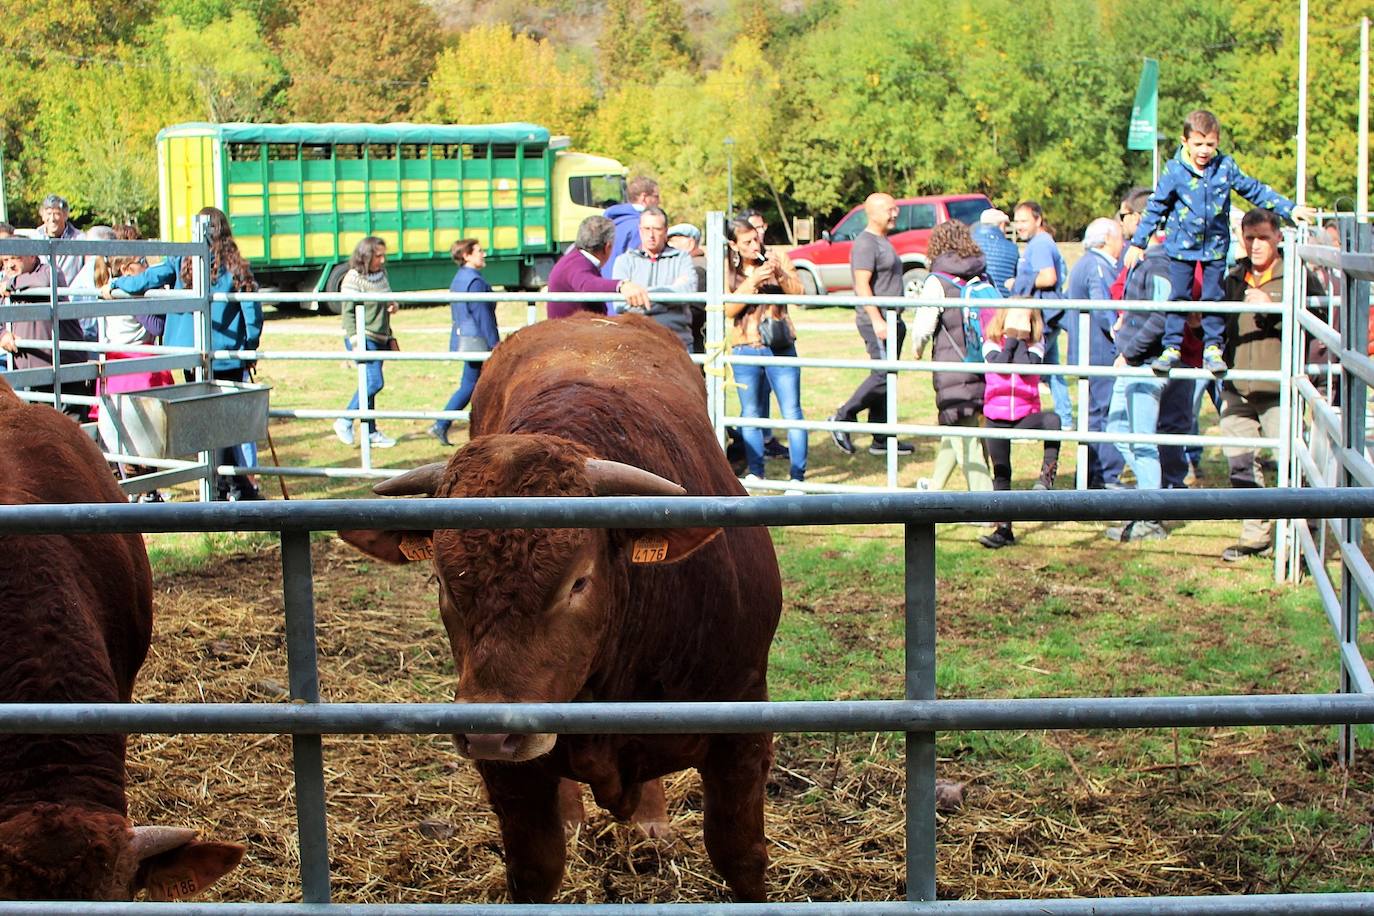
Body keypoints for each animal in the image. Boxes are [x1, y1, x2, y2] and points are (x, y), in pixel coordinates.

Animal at [343, 315, 785, 900]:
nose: (490, 732)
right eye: (439, 578)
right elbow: (535, 866)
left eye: (579, 581)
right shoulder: (508, 768)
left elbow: (740, 856)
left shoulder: (742, 732)